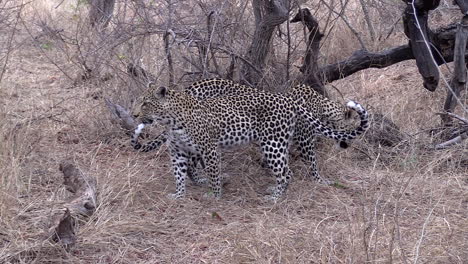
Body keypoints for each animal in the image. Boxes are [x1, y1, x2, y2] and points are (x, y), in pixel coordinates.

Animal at [130, 83, 368, 199]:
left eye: (145, 104)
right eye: (137, 102)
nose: (133, 115)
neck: (170, 120)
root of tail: (286, 99)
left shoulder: (209, 148)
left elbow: (213, 173)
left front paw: (214, 196)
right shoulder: (178, 151)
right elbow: (178, 174)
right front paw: (179, 195)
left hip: (273, 142)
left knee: (286, 172)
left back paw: (275, 198)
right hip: (277, 142)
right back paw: (274, 192)